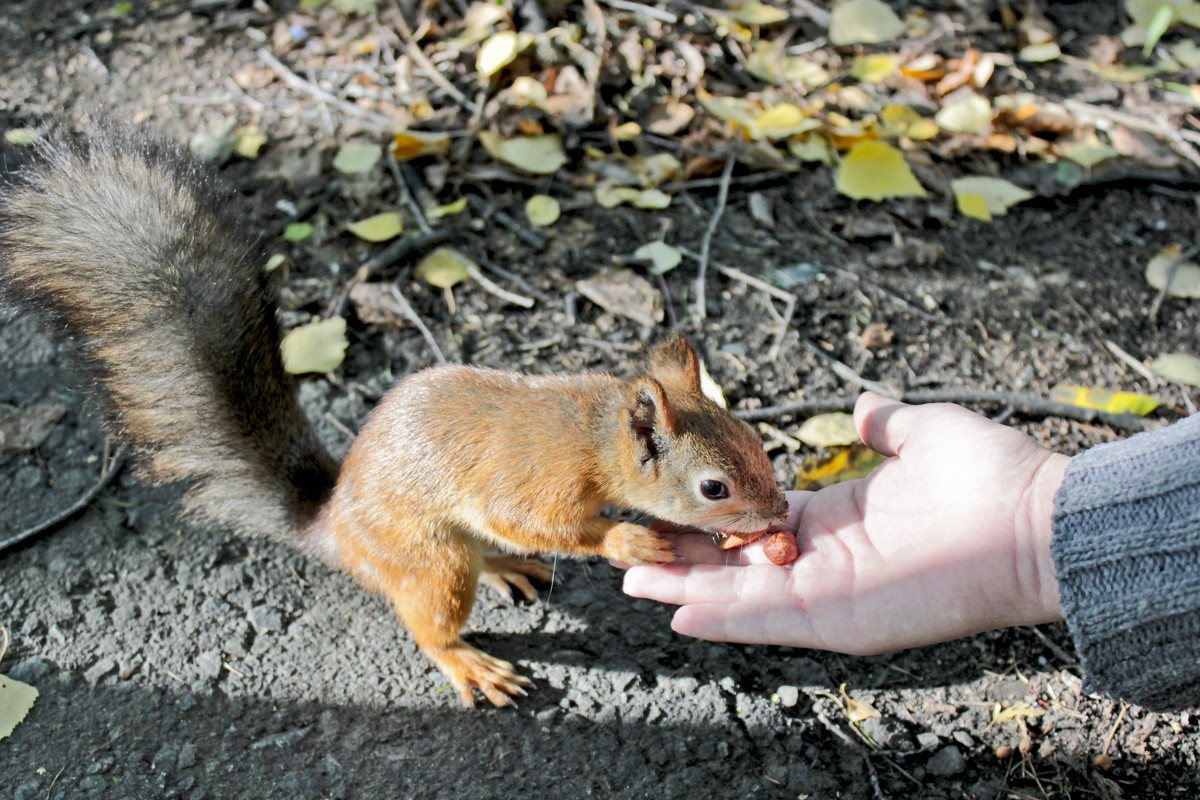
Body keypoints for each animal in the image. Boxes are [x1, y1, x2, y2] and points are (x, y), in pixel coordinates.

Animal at [0, 130, 787, 705]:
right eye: (714, 487)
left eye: (756, 439)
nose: (780, 515)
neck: (595, 438)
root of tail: (333, 526)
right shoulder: (535, 481)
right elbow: (535, 521)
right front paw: (626, 538)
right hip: (430, 560)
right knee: (432, 621)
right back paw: (470, 662)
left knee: (484, 556)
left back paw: (507, 568)